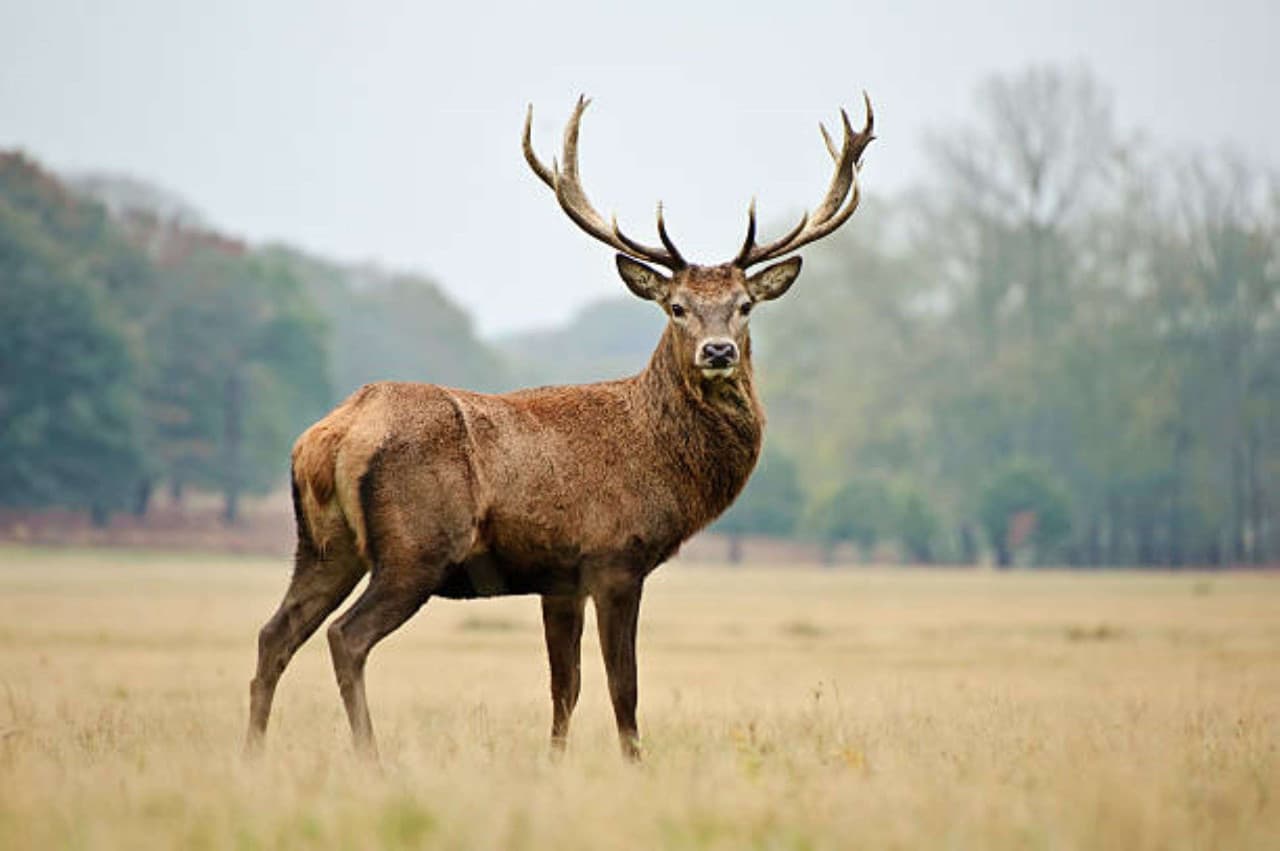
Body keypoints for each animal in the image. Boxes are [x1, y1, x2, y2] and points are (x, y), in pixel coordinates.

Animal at [244, 93, 875, 762]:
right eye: (676, 307)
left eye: (745, 305)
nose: (719, 351)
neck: (661, 459)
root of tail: (331, 435)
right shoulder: (615, 557)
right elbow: (623, 686)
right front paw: (634, 763)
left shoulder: (560, 577)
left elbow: (564, 687)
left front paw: (554, 762)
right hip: (415, 547)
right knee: (346, 637)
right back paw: (370, 758)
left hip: (323, 545)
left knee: (274, 633)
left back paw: (253, 754)